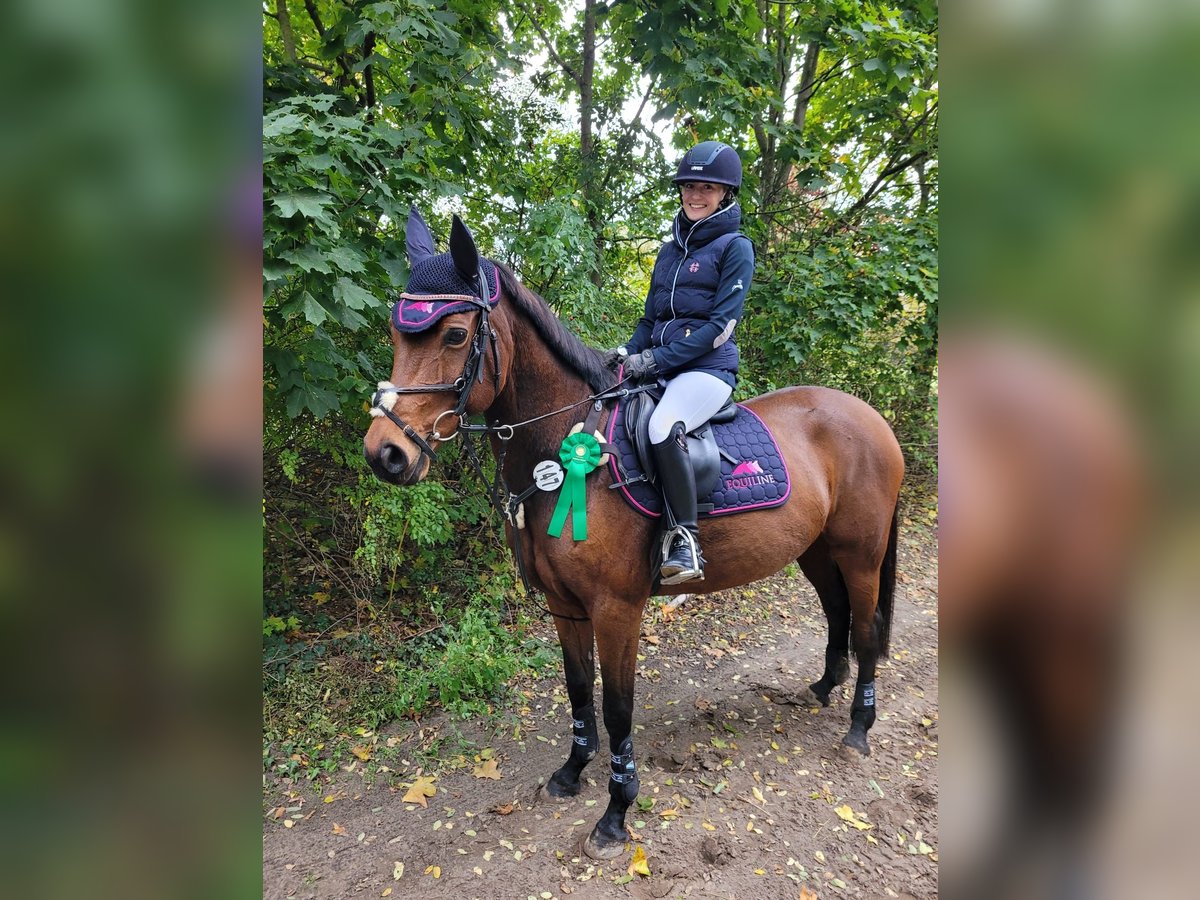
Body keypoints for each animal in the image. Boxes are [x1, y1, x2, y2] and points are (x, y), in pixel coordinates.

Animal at [360, 211, 902, 859]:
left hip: (861, 553)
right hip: (816, 551)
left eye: (455, 336)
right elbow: (577, 691)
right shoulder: (564, 605)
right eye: (398, 335)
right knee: (836, 611)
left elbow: (618, 708)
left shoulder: (616, 608)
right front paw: (572, 773)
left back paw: (858, 729)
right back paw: (822, 688)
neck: (564, 448)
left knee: (865, 628)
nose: (386, 455)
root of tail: (870, 416)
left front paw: (616, 814)